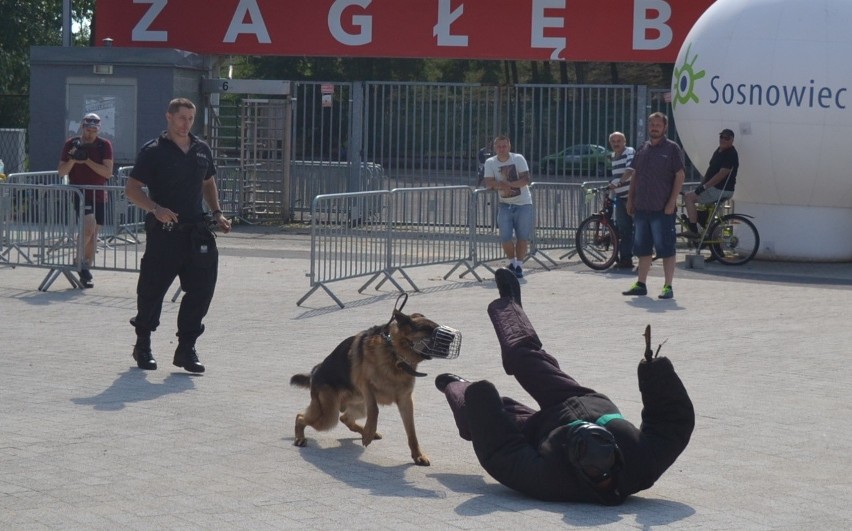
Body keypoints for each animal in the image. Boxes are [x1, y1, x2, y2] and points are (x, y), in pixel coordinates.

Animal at [290, 308, 460, 466]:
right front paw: (369, 431)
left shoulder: (406, 402)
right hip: (328, 416)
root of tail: (315, 371)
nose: (452, 337)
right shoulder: (366, 386)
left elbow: (412, 432)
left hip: (358, 407)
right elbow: (375, 409)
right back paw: (300, 437)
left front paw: (418, 455)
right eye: (430, 330)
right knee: (300, 416)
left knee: (345, 418)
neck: (396, 355)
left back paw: (367, 432)